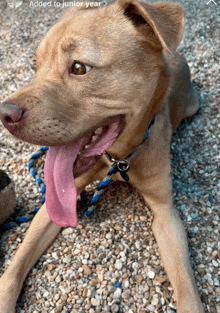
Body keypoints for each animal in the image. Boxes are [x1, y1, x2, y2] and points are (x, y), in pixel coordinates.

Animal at [0, 1, 205, 310]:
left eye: (79, 67)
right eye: (36, 66)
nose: (5, 115)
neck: (119, 159)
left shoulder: (166, 214)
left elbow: (188, 290)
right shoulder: (55, 202)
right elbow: (14, 270)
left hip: (193, 106)